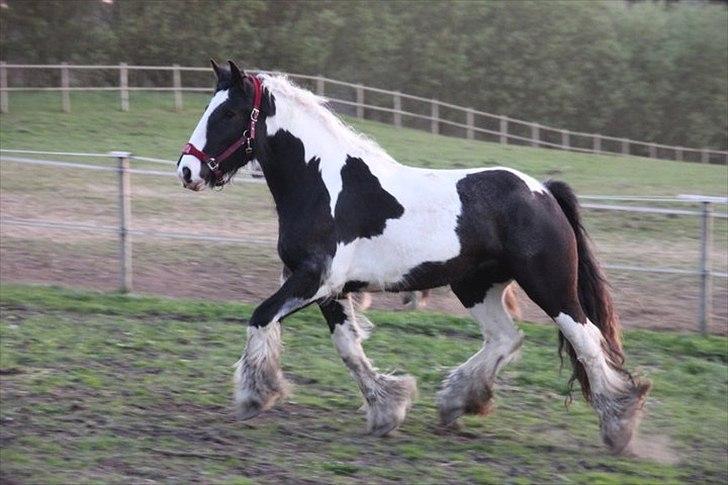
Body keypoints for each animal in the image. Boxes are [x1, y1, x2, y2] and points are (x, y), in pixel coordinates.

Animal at [175, 61, 648, 454]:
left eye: (228, 114)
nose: (186, 170)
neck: (324, 185)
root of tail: (544, 192)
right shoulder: (328, 289)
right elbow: (348, 348)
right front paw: (387, 409)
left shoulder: (314, 280)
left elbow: (260, 317)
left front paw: (254, 395)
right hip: (475, 286)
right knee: (505, 338)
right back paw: (456, 401)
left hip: (550, 287)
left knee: (587, 341)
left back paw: (618, 426)